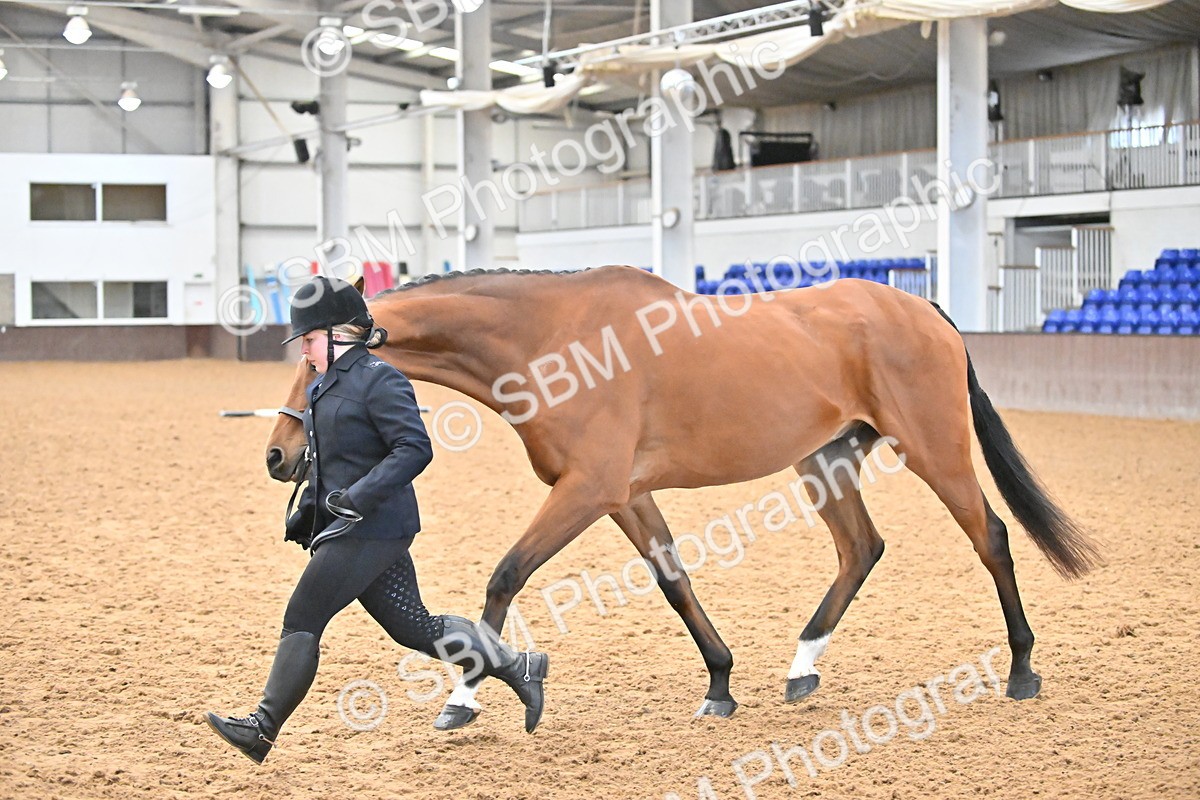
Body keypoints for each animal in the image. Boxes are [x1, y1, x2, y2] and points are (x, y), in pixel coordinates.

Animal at [264, 265, 1101, 722]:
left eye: (314, 368)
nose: (279, 457)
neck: (553, 342)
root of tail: (920, 307)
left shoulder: (586, 489)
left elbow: (505, 577)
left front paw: (463, 701)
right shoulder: (623, 494)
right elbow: (674, 580)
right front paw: (721, 684)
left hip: (932, 448)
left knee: (990, 537)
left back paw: (1021, 672)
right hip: (825, 459)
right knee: (861, 548)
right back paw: (800, 668)